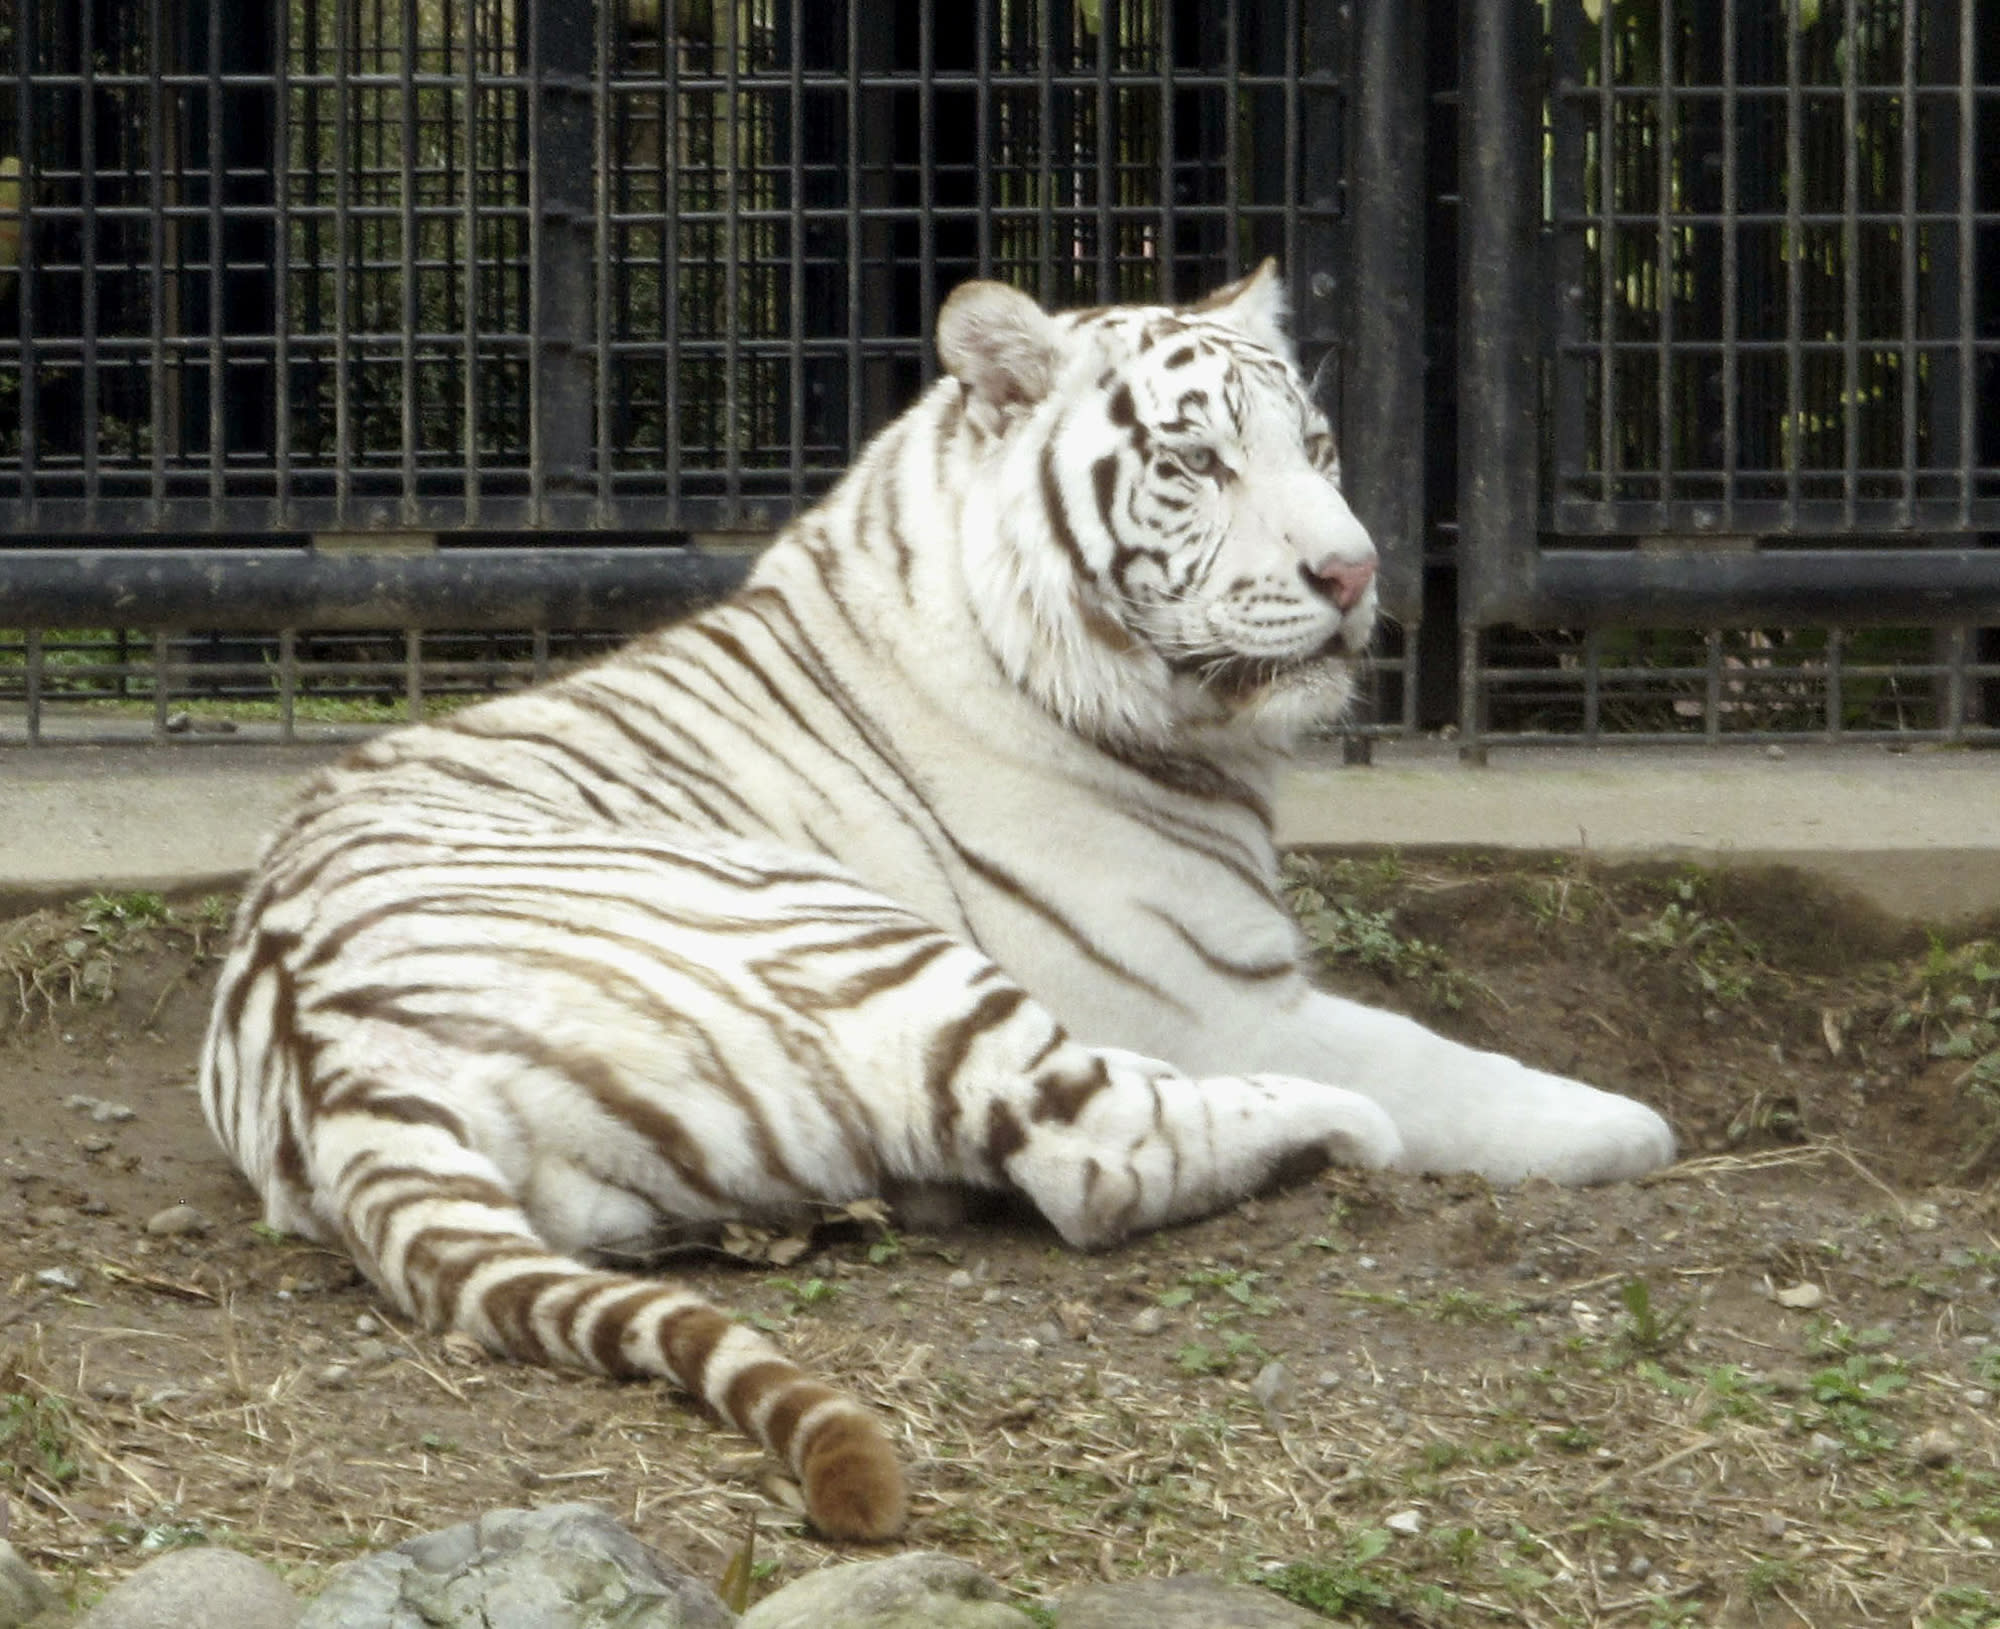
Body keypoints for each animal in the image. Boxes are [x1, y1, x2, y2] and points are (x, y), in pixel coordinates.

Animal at [199, 268, 1672, 1544]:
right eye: (1198, 464)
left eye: (1315, 446)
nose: (1356, 575)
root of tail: (331, 1056)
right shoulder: (1213, 1000)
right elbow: (1438, 1062)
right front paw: (1622, 1124)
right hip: (867, 944)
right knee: (1098, 1153)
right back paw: (1326, 1130)